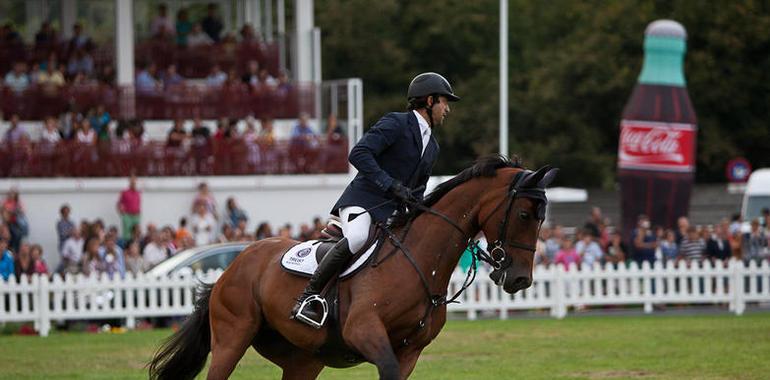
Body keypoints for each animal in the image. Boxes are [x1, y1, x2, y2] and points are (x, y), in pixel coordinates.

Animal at [148, 155, 560, 380]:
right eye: (524, 214)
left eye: (542, 218)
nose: (519, 279)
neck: (421, 262)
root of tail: (233, 266)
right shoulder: (365, 331)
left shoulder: (410, 352)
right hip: (232, 337)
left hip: (302, 359)